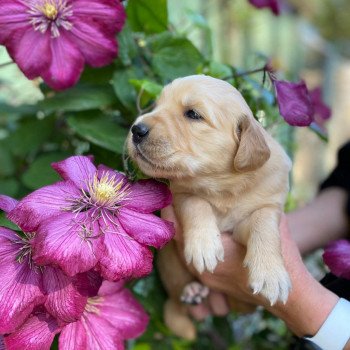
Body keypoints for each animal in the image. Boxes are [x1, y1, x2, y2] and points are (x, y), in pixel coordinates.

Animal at [127, 74, 292, 340]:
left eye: (193, 114)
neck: (222, 185)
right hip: (169, 267)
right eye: (157, 105)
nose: (136, 129)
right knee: (178, 298)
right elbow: (197, 202)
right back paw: (192, 291)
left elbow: (264, 222)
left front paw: (271, 273)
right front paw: (204, 244)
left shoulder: (268, 204)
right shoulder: (181, 193)